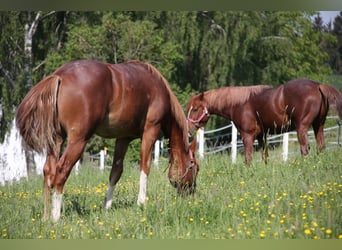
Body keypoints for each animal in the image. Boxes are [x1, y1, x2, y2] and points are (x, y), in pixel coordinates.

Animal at [16, 59, 198, 222]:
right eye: (195, 168)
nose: (192, 194)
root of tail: (60, 75)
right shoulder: (150, 130)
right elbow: (145, 166)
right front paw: (141, 202)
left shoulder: (123, 138)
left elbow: (116, 172)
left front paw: (107, 205)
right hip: (78, 140)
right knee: (61, 171)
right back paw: (55, 217)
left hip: (56, 139)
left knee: (48, 171)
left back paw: (46, 217)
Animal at [187, 78, 342, 164]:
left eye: (195, 109)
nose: (188, 130)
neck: (239, 103)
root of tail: (318, 85)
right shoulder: (262, 136)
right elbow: (264, 156)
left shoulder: (248, 136)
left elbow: (248, 158)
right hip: (318, 125)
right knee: (320, 146)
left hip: (302, 128)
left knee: (305, 148)